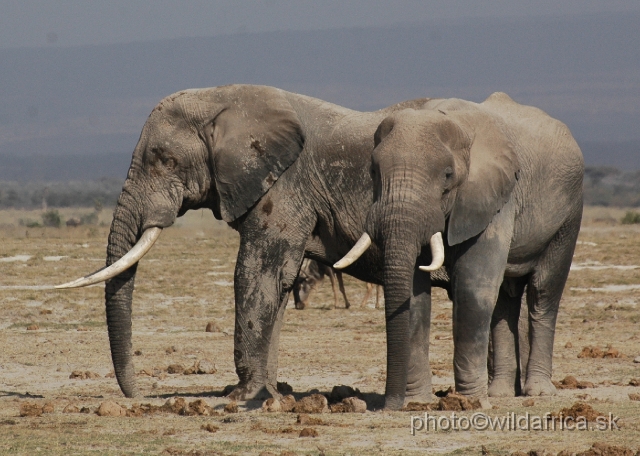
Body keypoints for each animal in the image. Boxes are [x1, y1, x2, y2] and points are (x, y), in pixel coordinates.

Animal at [56, 84, 436, 410]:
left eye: (166, 161)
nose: (136, 395)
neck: (220, 98)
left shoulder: (284, 189)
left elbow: (256, 274)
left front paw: (243, 396)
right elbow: (280, 283)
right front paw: (271, 394)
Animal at [338, 92, 584, 402]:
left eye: (447, 175)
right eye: (372, 171)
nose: (390, 404)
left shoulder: (492, 195)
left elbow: (472, 285)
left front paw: (470, 402)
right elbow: (416, 293)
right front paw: (418, 402)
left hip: (570, 211)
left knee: (543, 292)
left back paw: (537, 392)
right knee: (504, 300)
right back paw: (500, 393)